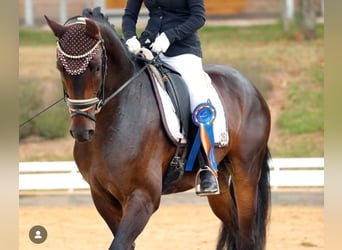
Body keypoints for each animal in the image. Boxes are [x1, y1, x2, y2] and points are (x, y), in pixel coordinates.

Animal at [45, 7, 272, 250]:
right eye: (60, 68)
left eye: (96, 67)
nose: (81, 130)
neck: (113, 120)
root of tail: (251, 88)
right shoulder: (102, 197)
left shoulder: (143, 198)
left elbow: (119, 244)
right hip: (219, 182)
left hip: (245, 175)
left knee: (246, 236)